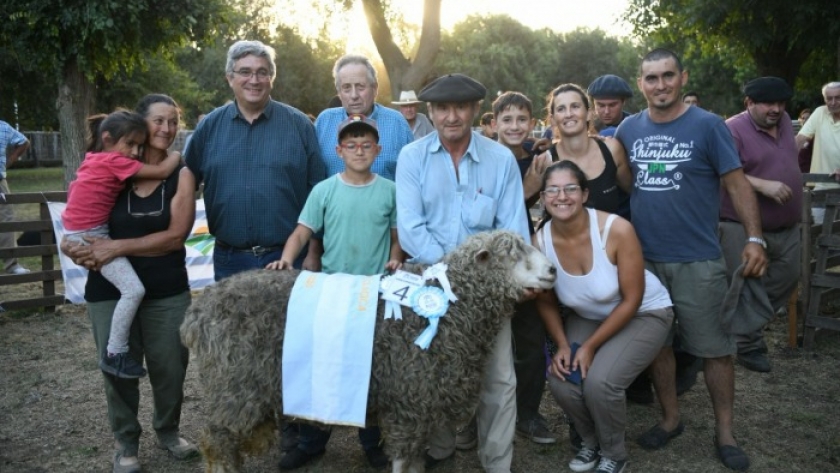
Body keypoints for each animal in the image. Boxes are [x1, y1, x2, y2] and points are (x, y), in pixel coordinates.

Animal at [180, 227, 556, 470]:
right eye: (511, 255)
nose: (552, 270)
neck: (451, 310)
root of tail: (198, 312)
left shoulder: (419, 403)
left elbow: (414, 461)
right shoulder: (407, 401)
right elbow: (404, 461)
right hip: (233, 388)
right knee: (216, 442)